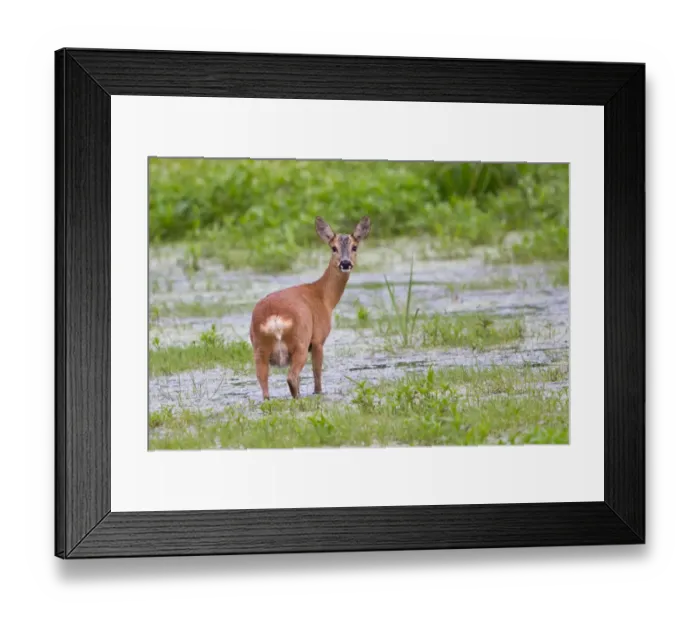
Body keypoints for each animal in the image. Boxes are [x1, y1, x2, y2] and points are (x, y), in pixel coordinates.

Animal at [249, 216, 371, 400]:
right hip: (300, 341)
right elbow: (317, 376)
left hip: (259, 348)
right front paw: (319, 393)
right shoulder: (318, 339)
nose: (345, 263)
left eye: (354, 247)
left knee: (264, 384)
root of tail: (274, 318)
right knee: (292, 377)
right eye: (333, 248)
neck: (323, 297)